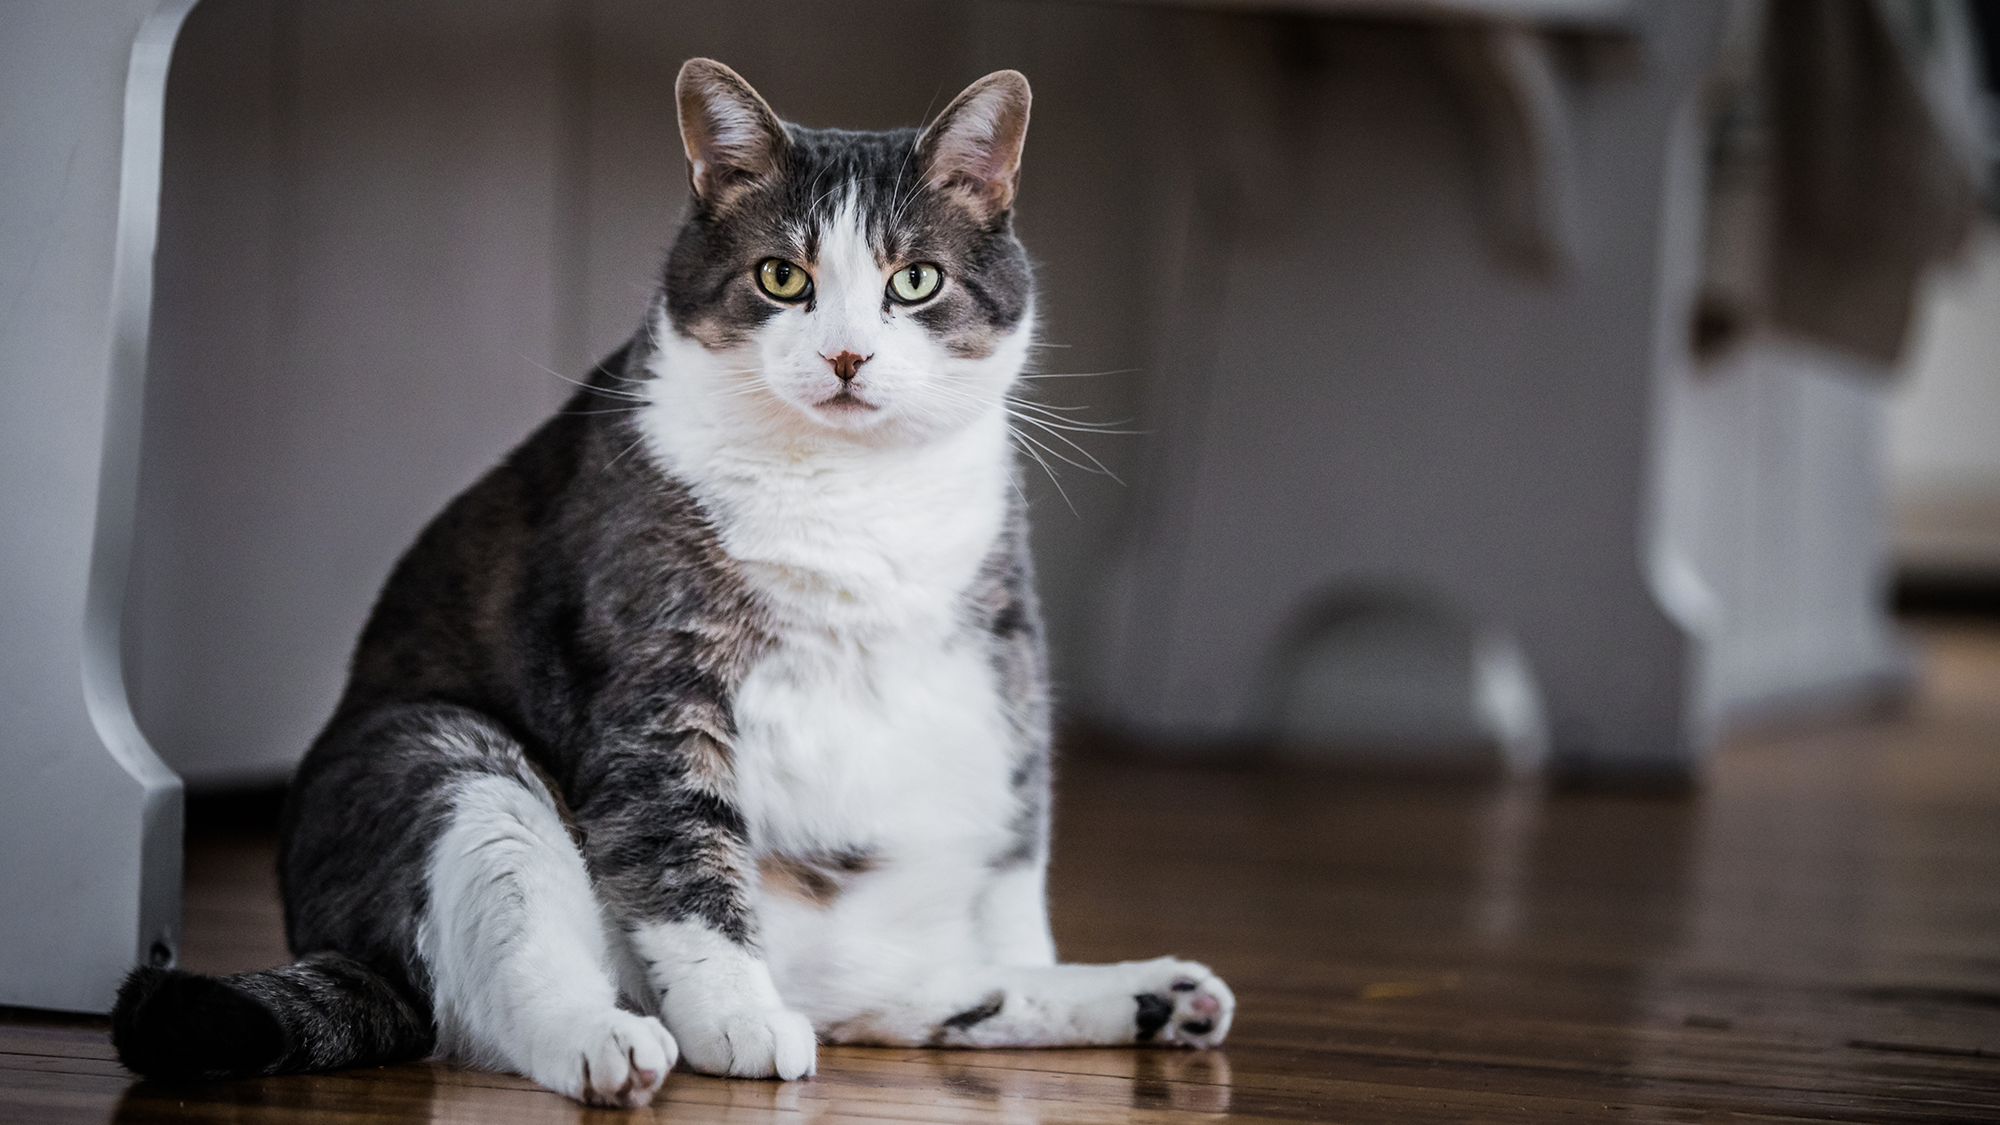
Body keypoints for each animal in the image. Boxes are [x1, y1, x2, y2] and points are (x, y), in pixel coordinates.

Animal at [117, 59, 1232, 1104]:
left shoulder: (1003, 649)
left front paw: (1041, 962)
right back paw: (611, 1042)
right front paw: (735, 1016)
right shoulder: (655, 672)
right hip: (438, 756)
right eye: (780, 277)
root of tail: (344, 950)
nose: (846, 356)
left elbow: (1015, 855)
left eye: (915, 281)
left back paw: (1152, 995)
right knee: (494, 992)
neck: (849, 492)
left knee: (902, 991)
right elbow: (680, 851)